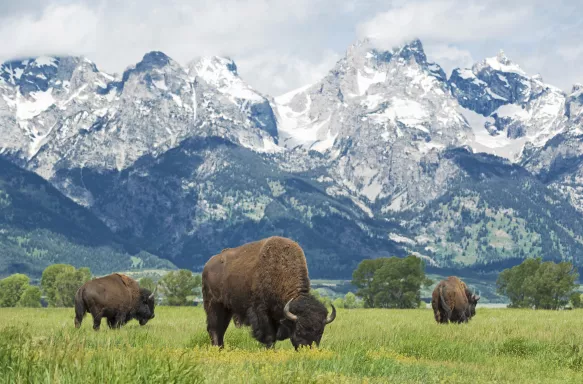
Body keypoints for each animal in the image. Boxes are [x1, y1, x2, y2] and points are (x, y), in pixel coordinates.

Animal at [202, 236, 336, 350]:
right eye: (298, 330)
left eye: (320, 332)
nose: (308, 349)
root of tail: (207, 265)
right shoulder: (262, 312)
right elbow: (270, 336)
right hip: (214, 305)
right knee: (214, 328)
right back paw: (217, 348)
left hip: (227, 309)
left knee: (221, 329)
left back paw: (221, 348)